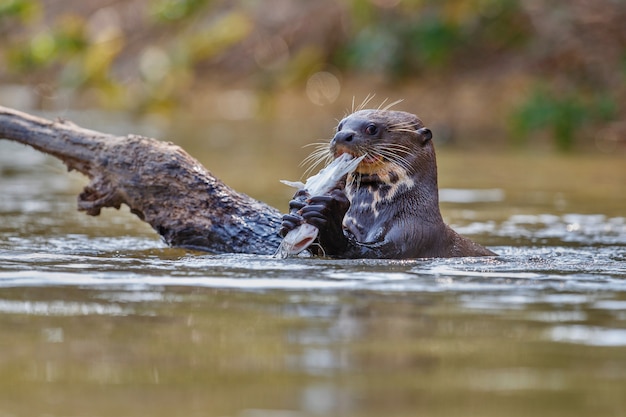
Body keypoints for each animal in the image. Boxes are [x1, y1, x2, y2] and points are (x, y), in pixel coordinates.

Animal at [280, 108, 494, 256]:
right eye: (340, 126)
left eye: (372, 128)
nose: (341, 135)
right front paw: (295, 207)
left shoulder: (412, 234)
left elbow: (366, 251)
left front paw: (328, 214)